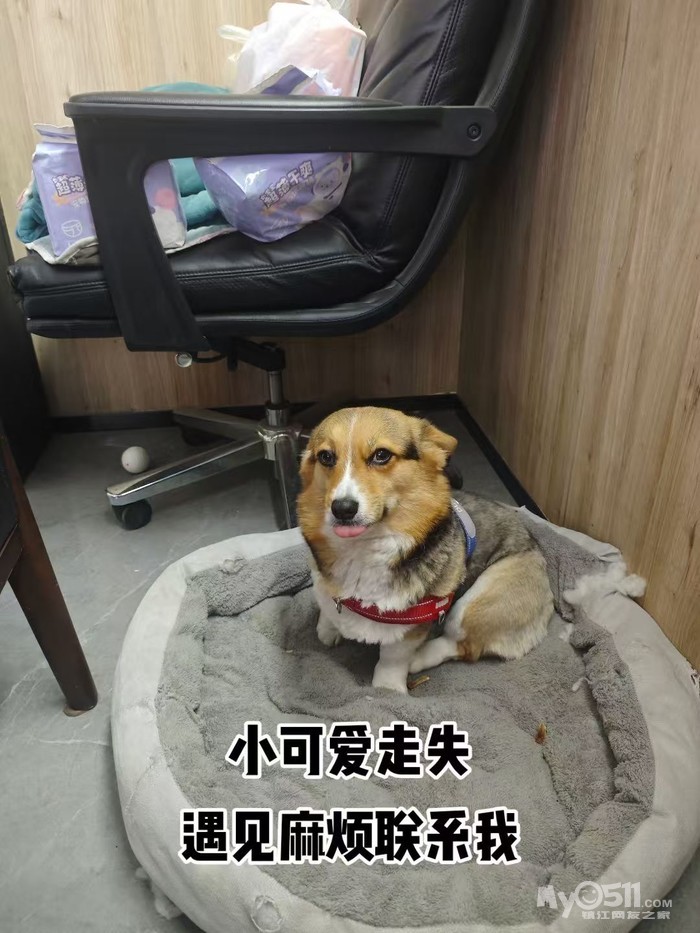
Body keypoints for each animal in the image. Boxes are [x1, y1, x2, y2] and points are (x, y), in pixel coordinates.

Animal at [297, 406, 554, 693]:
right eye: (326, 457)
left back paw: (419, 659)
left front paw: (388, 689)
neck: (363, 549)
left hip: (479, 600)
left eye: (381, 455)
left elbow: (392, 659)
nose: (342, 509)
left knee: (462, 645)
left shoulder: (409, 628)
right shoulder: (323, 585)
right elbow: (326, 610)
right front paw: (329, 629)